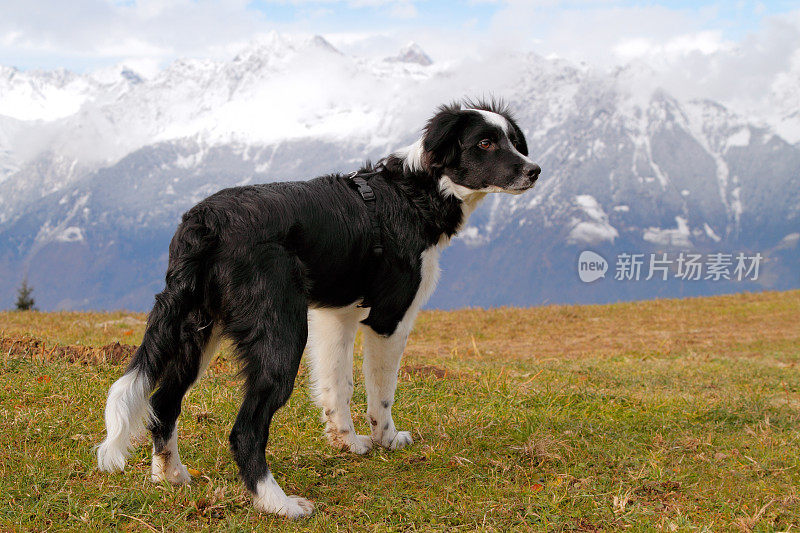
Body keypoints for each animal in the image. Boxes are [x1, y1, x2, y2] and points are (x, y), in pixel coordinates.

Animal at [97, 98, 540, 516]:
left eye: (512, 141)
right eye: (485, 143)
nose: (535, 170)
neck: (417, 193)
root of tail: (206, 221)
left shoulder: (335, 316)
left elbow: (337, 385)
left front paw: (347, 442)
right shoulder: (389, 319)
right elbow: (382, 393)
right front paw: (386, 439)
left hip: (200, 330)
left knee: (162, 403)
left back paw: (169, 475)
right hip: (281, 336)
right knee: (244, 430)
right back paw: (277, 503)